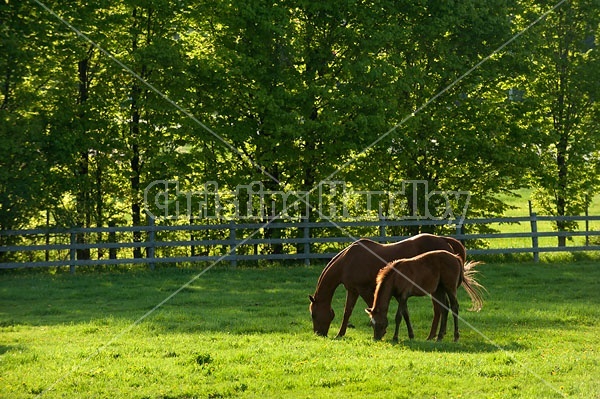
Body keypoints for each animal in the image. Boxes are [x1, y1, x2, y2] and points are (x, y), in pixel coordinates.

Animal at [310, 236, 468, 340]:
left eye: (313, 315)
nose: (318, 334)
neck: (347, 261)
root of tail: (445, 241)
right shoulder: (353, 290)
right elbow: (347, 312)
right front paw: (340, 333)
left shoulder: (364, 290)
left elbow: (368, 308)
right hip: (437, 288)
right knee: (441, 308)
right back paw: (437, 335)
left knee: (439, 309)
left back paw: (432, 336)